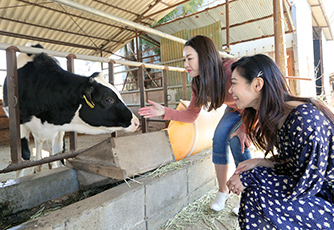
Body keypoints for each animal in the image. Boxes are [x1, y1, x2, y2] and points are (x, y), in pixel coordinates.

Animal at [2, 47, 138, 175]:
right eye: (108, 99)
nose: (136, 122)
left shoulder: (59, 127)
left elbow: (58, 152)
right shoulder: (19, 123)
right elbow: (24, 157)